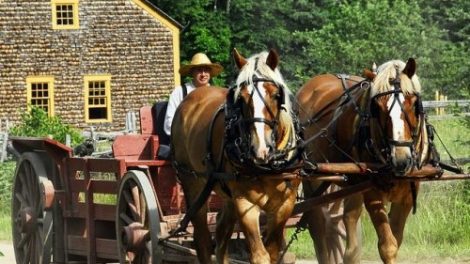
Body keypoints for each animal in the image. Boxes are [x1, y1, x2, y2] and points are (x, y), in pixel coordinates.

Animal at [172, 48, 302, 262]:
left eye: (276, 95)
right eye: (241, 98)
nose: (261, 149)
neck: (267, 166)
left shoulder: (285, 204)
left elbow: (273, 252)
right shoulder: (244, 203)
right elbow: (260, 256)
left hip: (226, 195)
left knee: (221, 233)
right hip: (192, 182)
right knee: (203, 239)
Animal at [298, 59, 430, 264]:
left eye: (413, 103)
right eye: (378, 107)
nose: (401, 159)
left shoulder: (407, 197)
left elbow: (396, 239)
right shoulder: (372, 193)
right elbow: (388, 245)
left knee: (348, 219)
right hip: (314, 177)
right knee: (317, 225)